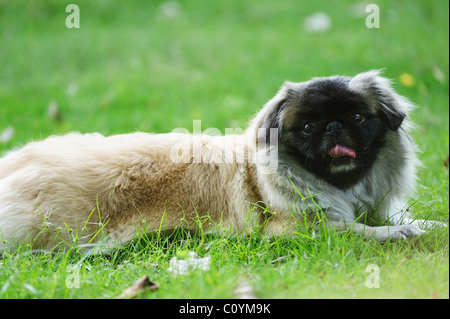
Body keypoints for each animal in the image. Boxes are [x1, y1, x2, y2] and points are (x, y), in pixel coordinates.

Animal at [0, 70, 438, 252]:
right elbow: (359, 231)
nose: (334, 127)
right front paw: (398, 234)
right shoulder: (298, 229)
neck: (343, 187)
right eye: (308, 126)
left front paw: (427, 226)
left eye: (357, 117)